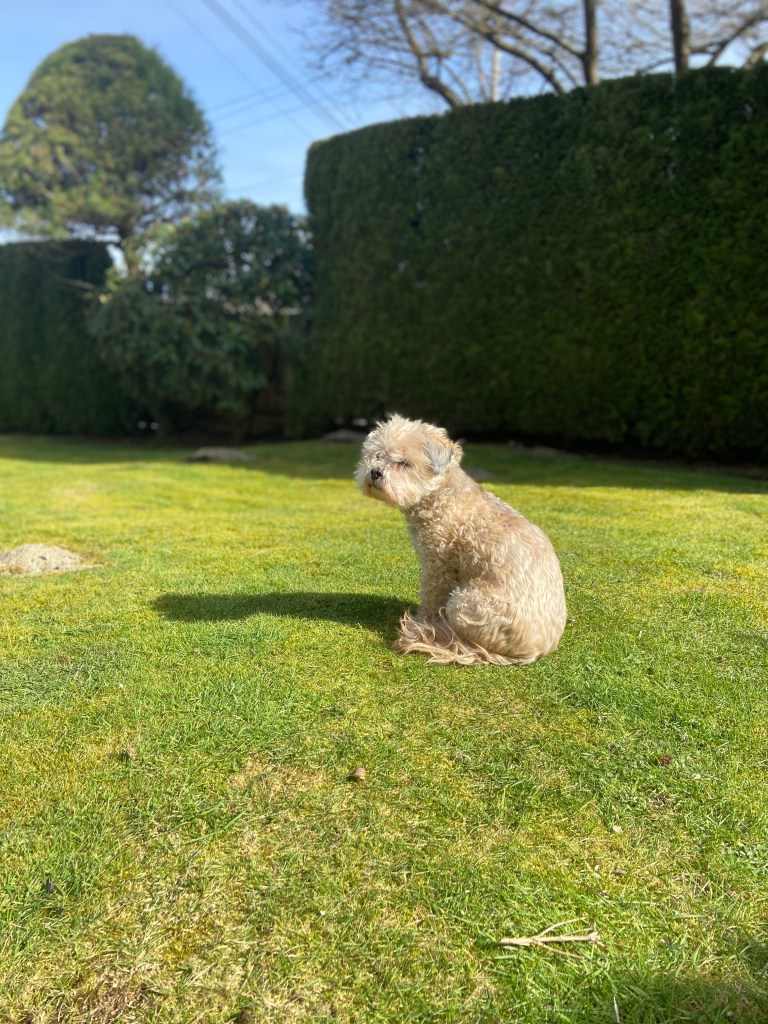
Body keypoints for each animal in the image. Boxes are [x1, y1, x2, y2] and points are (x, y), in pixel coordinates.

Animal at [356, 414, 567, 665]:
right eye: (377, 455)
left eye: (404, 463)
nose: (375, 472)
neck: (441, 495)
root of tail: (535, 651)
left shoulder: (438, 566)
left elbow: (430, 598)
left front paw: (422, 621)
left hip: (464, 602)